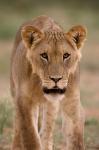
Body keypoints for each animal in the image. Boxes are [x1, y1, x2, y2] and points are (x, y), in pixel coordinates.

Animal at [10, 15, 86, 150]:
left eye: (66, 55)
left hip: (51, 107)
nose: (56, 79)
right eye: (44, 55)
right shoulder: (24, 101)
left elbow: (76, 139)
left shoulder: (72, 102)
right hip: (14, 91)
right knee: (18, 125)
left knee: (46, 132)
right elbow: (31, 138)